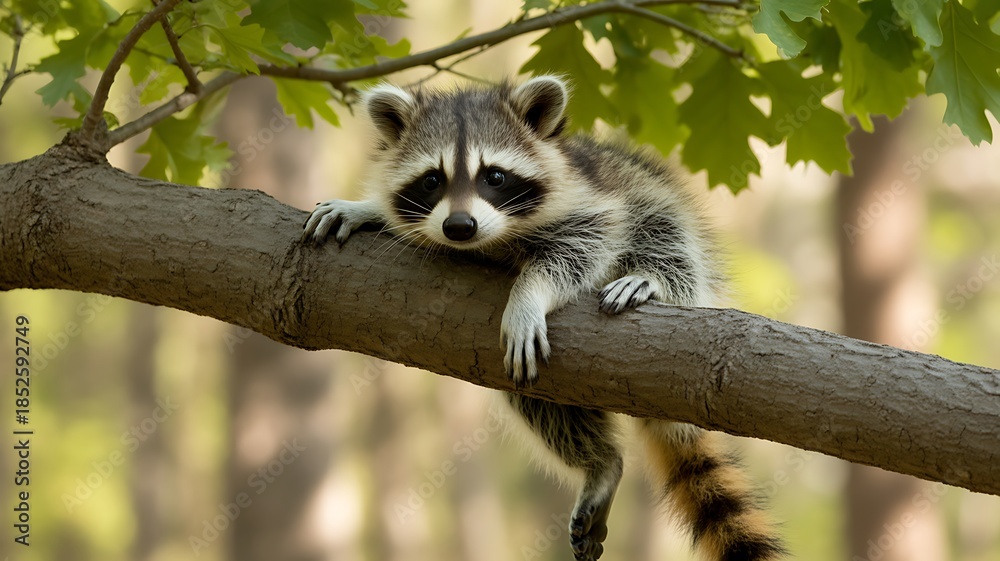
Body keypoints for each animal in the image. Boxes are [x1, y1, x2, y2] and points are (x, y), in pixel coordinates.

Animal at [302, 76, 786, 561]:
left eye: (494, 176)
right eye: (431, 180)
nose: (459, 226)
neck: (491, 241)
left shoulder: (594, 199)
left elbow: (584, 244)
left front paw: (528, 293)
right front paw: (368, 209)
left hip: (654, 199)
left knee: (667, 235)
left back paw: (654, 278)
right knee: (541, 405)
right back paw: (600, 464)